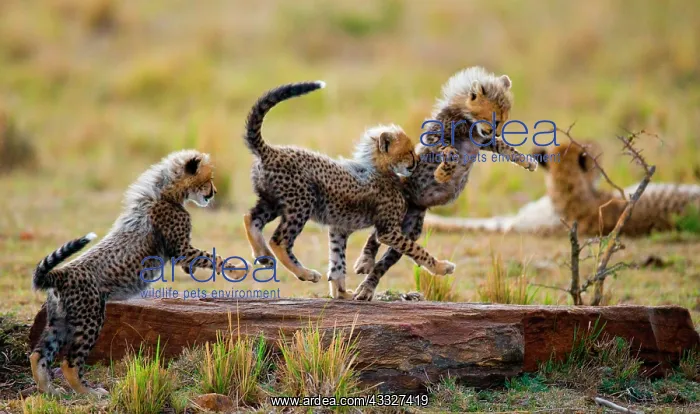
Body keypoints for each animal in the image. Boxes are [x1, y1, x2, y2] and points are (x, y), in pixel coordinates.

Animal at [29, 149, 239, 397]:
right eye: (209, 179)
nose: (214, 192)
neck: (164, 193)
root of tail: (60, 273)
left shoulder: (180, 251)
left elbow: (199, 260)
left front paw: (197, 269)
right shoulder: (181, 249)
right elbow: (211, 257)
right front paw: (236, 268)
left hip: (59, 321)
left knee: (38, 354)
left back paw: (49, 390)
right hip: (90, 317)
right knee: (69, 362)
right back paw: (90, 393)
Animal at [241, 81, 455, 300]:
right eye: (410, 152)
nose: (417, 161)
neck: (383, 170)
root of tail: (271, 150)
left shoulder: (339, 228)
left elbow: (337, 262)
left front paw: (341, 293)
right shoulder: (387, 231)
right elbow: (416, 249)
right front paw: (441, 267)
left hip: (273, 202)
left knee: (250, 218)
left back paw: (263, 255)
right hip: (301, 203)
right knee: (279, 241)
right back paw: (305, 272)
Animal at [352, 66, 537, 301]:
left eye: (505, 119)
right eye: (496, 120)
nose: (496, 129)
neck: (467, 117)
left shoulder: (485, 141)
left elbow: (506, 147)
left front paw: (527, 161)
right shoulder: (438, 139)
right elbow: (452, 152)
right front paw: (442, 175)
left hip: (409, 228)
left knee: (385, 254)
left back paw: (368, 283)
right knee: (375, 236)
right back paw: (365, 262)